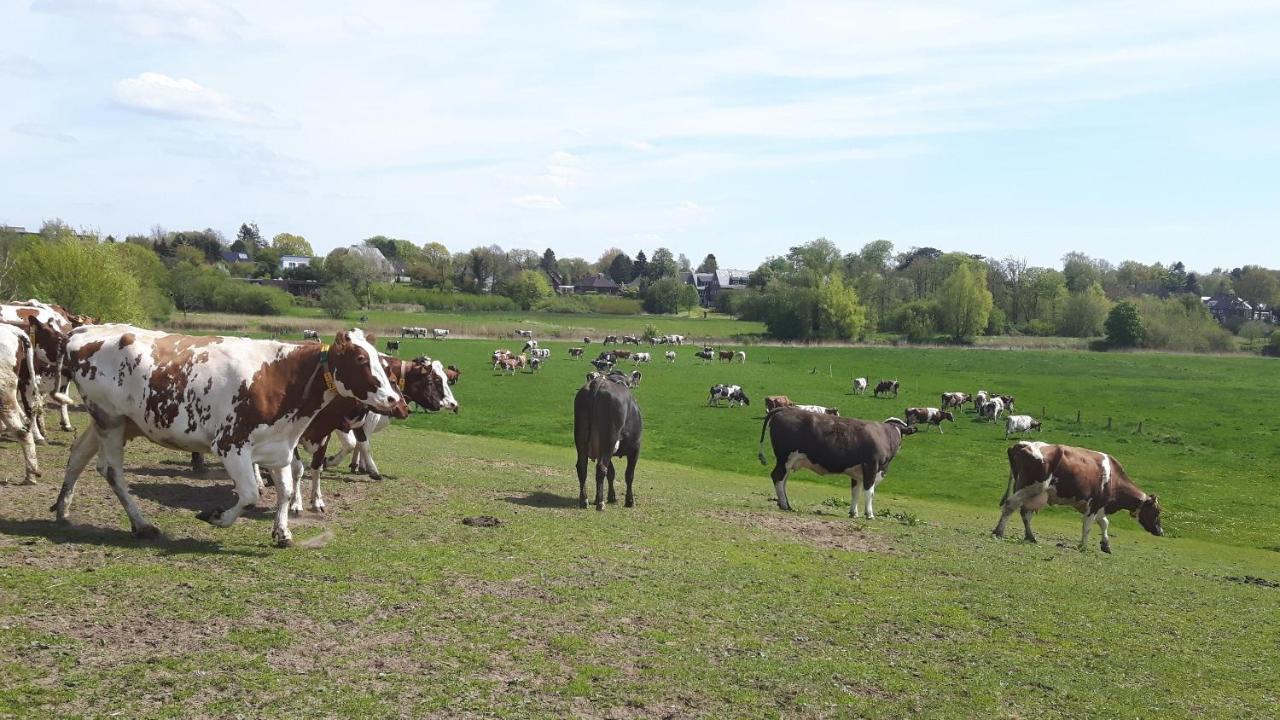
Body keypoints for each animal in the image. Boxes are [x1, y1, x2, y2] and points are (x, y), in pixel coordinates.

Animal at [53, 325, 404, 543]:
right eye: (360, 358)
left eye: (380, 359)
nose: (393, 400)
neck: (279, 376)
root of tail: (82, 331)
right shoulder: (230, 445)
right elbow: (249, 494)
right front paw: (217, 517)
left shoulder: (279, 446)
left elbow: (286, 491)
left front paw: (282, 532)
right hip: (109, 419)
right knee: (112, 471)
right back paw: (141, 524)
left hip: (117, 421)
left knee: (79, 456)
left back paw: (62, 508)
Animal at [576, 368, 645, 509]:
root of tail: (597, 383)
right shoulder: (635, 447)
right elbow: (629, 474)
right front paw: (629, 501)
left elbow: (611, 473)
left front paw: (610, 497)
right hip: (609, 439)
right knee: (601, 467)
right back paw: (600, 504)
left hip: (581, 438)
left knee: (582, 467)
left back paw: (584, 500)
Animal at [752, 404, 916, 515]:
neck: (887, 434)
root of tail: (784, 409)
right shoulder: (871, 466)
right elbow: (869, 491)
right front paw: (869, 514)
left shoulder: (858, 472)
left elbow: (855, 492)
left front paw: (853, 513)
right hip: (785, 458)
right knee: (777, 477)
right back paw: (785, 505)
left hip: (788, 462)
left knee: (783, 480)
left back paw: (786, 504)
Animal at [993, 440, 1167, 550]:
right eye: (1157, 511)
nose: (1161, 532)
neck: (1114, 479)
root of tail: (1021, 445)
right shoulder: (1095, 504)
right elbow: (1088, 526)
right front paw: (1083, 546)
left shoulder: (1095, 506)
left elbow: (1104, 523)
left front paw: (1105, 544)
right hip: (1032, 487)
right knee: (1011, 505)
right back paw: (998, 532)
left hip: (1032, 492)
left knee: (1025, 513)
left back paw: (1030, 537)